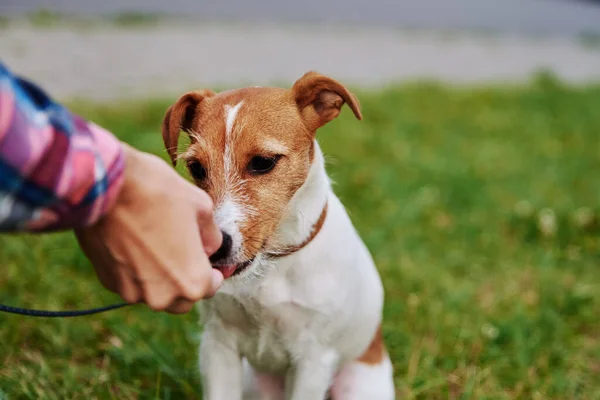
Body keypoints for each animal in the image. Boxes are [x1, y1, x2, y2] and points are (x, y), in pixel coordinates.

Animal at [161, 72, 394, 400]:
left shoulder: (312, 361)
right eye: (195, 168)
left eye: (263, 162)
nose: (213, 248)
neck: (271, 266)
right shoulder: (218, 346)